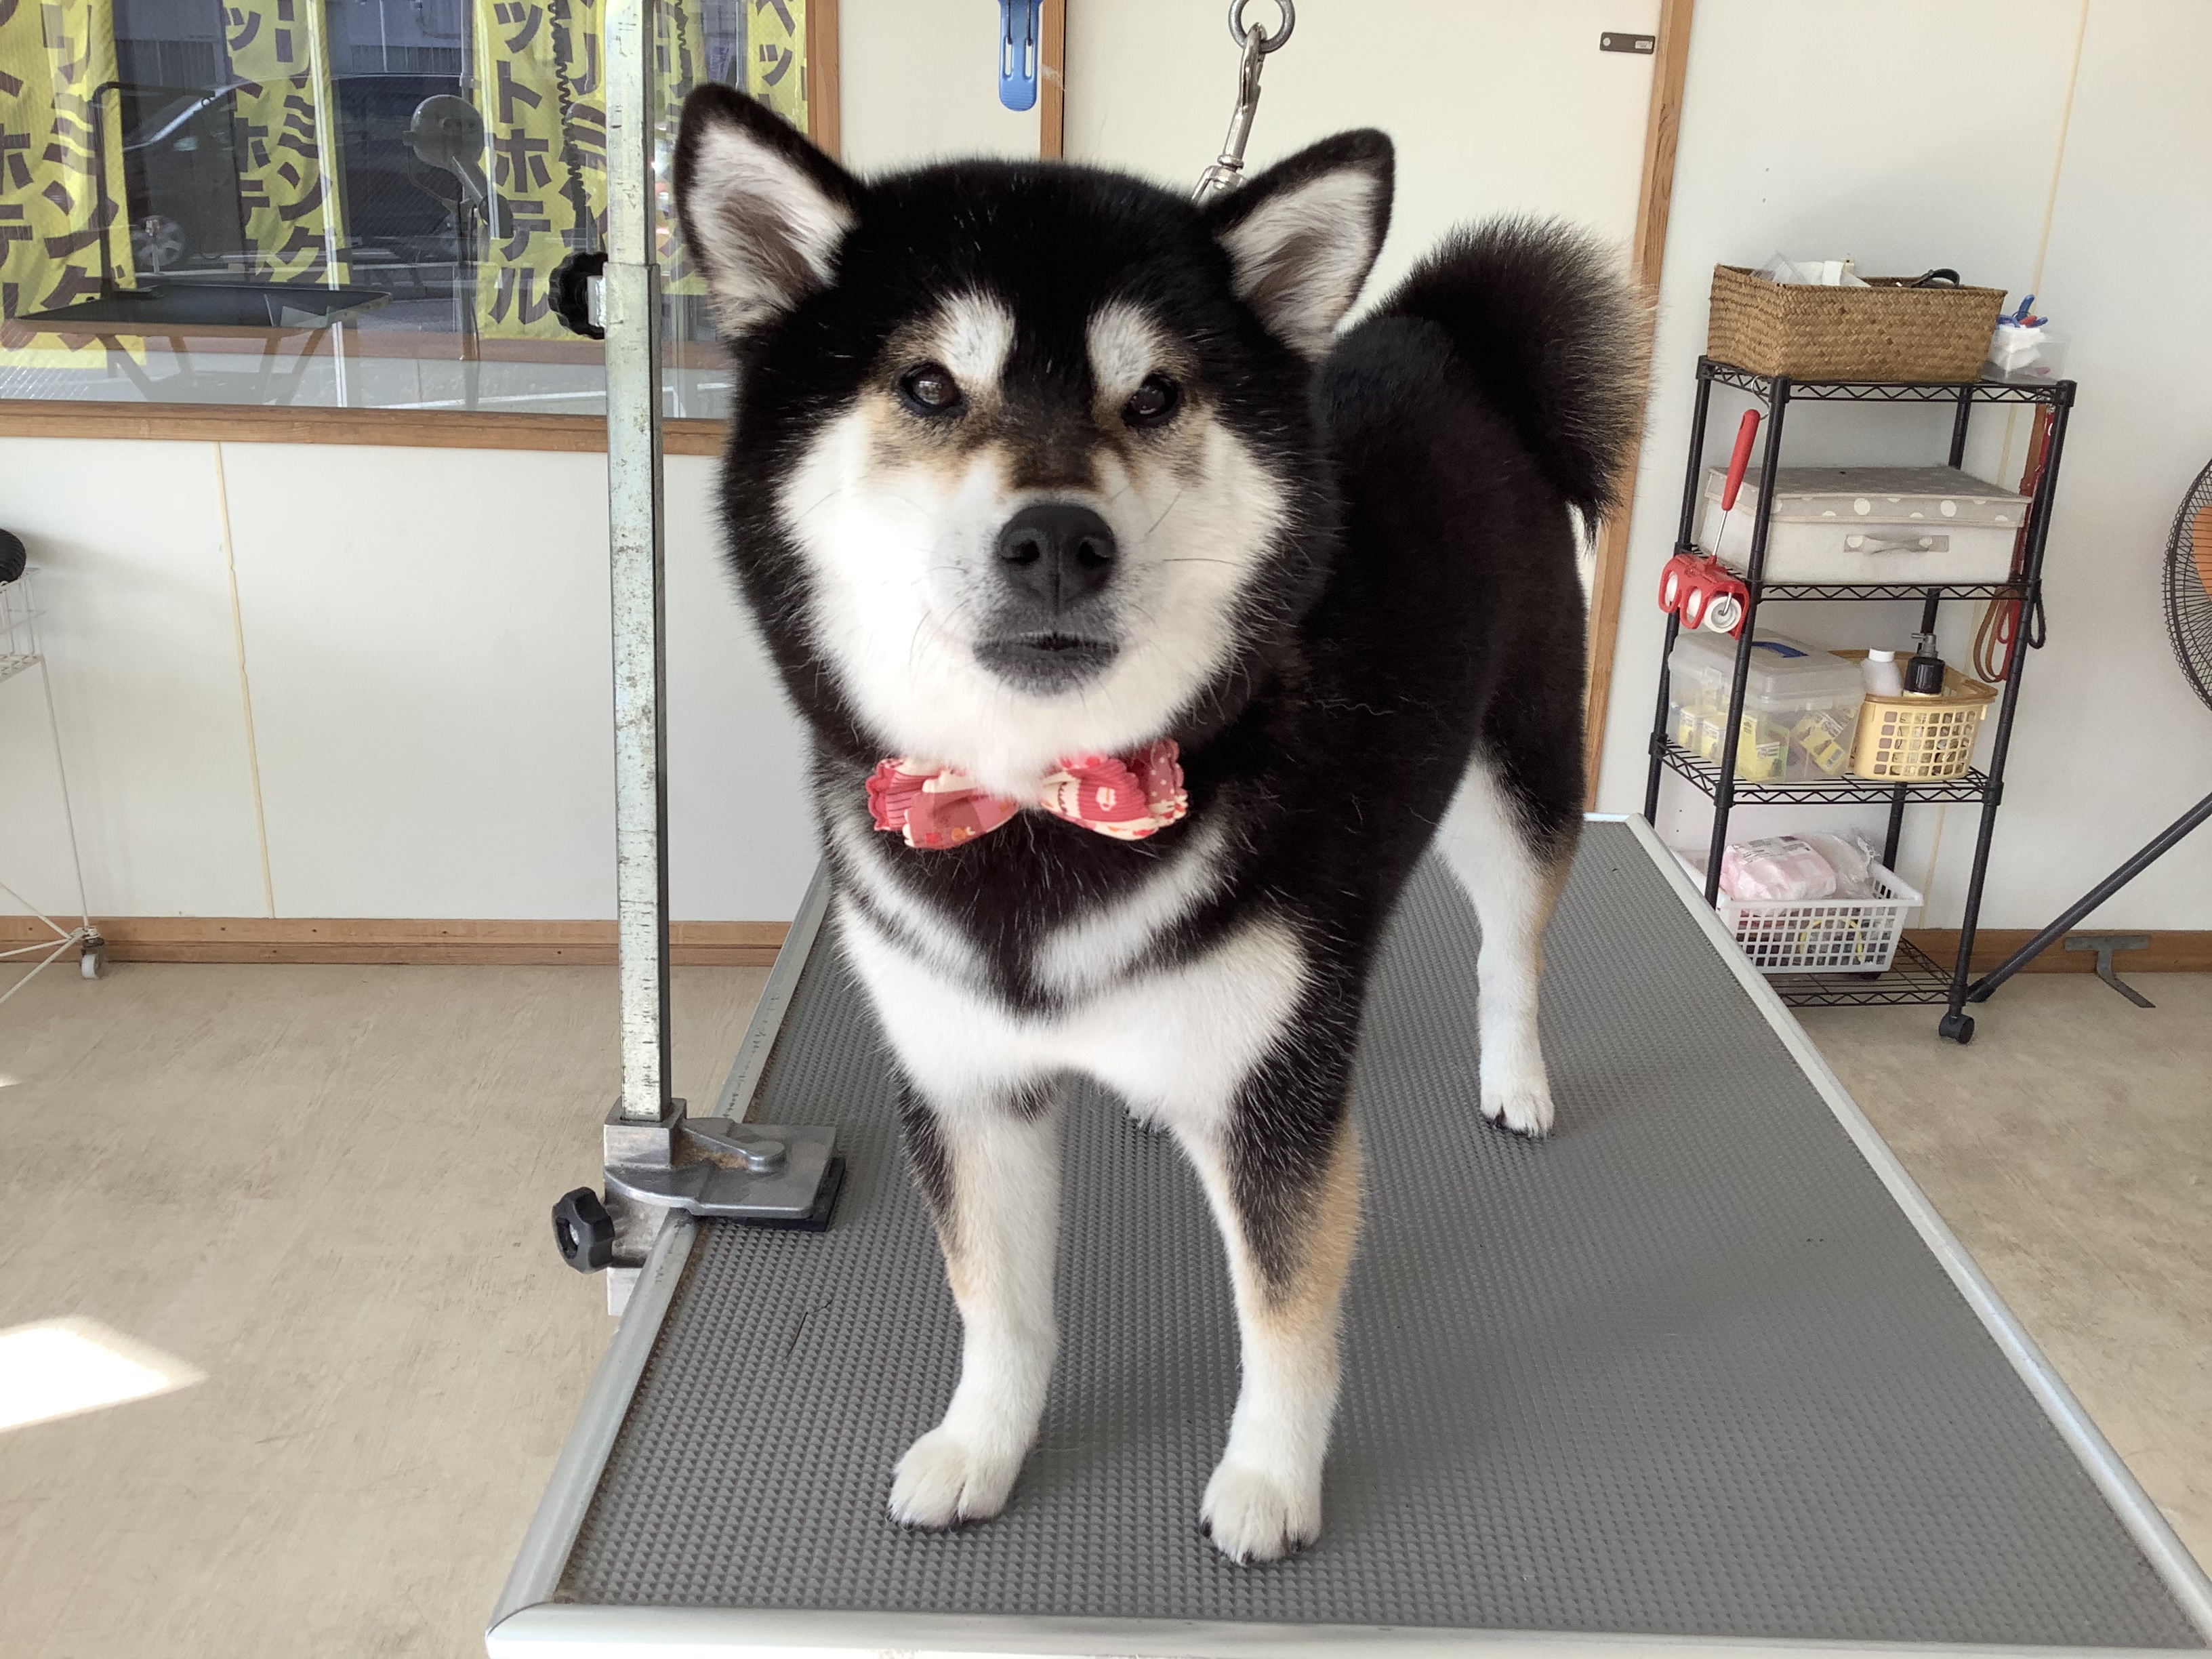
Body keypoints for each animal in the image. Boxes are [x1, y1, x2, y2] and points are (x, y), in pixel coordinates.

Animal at [671, 85, 1643, 1564]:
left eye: (1155, 395)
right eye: (928, 387)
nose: (1054, 540)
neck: (1038, 800)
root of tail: (1443, 335)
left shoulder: (1275, 1096)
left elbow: (1283, 1319)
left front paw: (1271, 1483)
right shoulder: (964, 1083)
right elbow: (997, 1306)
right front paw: (982, 1446)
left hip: (1514, 780)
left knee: (1510, 948)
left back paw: (1515, 1077)